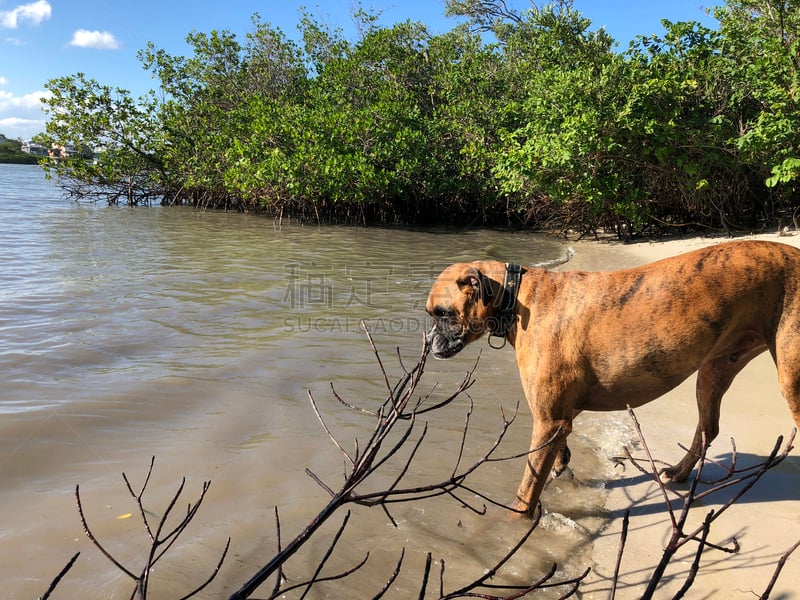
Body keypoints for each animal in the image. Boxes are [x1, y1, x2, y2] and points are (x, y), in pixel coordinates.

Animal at [428, 239, 800, 516]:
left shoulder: (548, 420)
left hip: (790, 382)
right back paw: (679, 473)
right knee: (708, 429)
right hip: (713, 372)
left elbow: (527, 488)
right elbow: (557, 449)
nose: (429, 343)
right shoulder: (559, 416)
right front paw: (561, 464)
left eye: (442, 314)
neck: (517, 297)